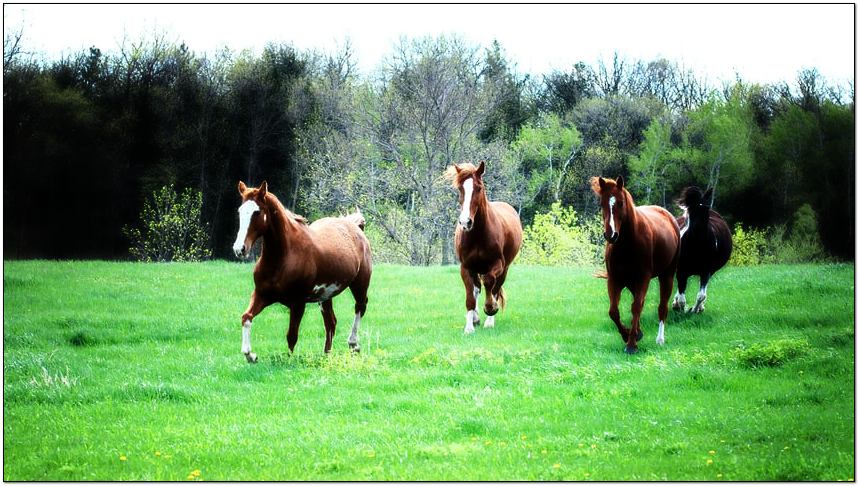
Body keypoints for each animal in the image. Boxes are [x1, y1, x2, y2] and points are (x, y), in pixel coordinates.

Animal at [232, 181, 372, 362]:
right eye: (240, 211)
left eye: (257, 212)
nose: (239, 249)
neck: (282, 258)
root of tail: (355, 226)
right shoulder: (261, 295)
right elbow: (246, 318)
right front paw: (251, 355)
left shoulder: (298, 303)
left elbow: (291, 335)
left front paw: (288, 360)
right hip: (325, 296)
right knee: (331, 322)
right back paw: (326, 355)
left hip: (360, 283)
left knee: (360, 307)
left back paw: (353, 344)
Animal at [444, 161, 523, 334]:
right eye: (460, 188)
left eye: (479, 188)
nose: (465, 222)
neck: (478, 234)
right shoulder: (466, 267)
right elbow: (470, 297)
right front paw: (469, 327)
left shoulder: (497, 264)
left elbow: (489, 282)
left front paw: (490, 308)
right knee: (477, 289)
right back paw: (476, 318)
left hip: (505, 269)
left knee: (495, 287)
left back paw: (489, 320)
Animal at [590, 175, 681, 354]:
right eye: (602, 203)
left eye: (620, 203)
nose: (611, 235)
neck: (626, 243)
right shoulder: (615, 279)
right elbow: (614, 312)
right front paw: (629, 335)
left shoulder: (643, 278)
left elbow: (636, 307)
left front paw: (631, 344)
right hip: (632, 282)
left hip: (667, 275)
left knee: (662, 307)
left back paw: (660, 339)